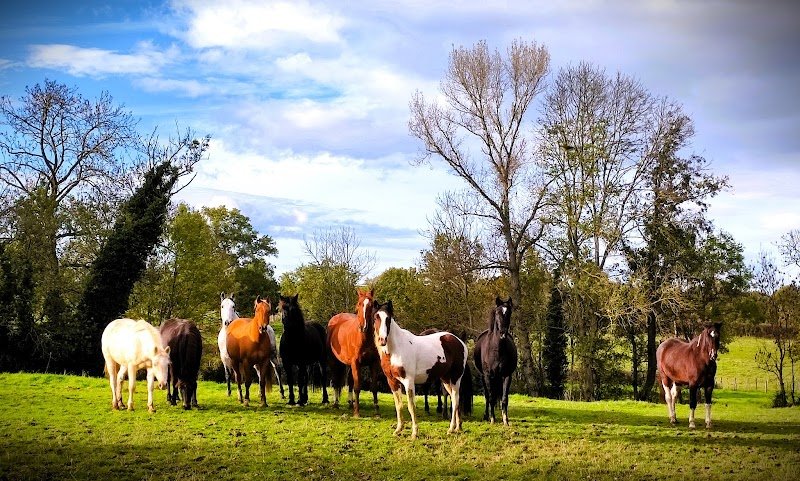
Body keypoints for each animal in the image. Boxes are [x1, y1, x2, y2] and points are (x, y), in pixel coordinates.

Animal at [327, 288, 381, 417]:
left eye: (372, 305)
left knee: (350, 381)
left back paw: (350, 403)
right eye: (359, 304)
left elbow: (374, 387)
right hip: (334, 361)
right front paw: (357, 412)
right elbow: (357, 386)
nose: (364, 327)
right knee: (336, 381)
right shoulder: (356, 363)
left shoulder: (374, 363)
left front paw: (377, 411)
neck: (364, 339)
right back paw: (336, 403)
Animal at [373, 300, 470, 439]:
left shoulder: (408, 381)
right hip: (446, 379)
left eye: (388, 319)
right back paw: (458, 427)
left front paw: (414, 433)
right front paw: (398, 430)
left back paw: (451, 429)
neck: (395, 349)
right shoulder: (392, 381)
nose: (382, 340)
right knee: (454, 398)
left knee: (455, 400)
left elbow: (411, 406)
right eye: (376, 317)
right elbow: (399, 406)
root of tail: (460, 342)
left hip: (455, 378)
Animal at [474, 296, 518, 425]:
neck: (497, 349)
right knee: (488, 396)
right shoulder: (488, 376)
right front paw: (492, 419)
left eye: (509, 312)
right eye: (498, 312)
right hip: (484, 377)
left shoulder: (507, 375)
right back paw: (486, 416)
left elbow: (504, 398)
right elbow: (491, 397)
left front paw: (505, 420)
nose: (503, 333)